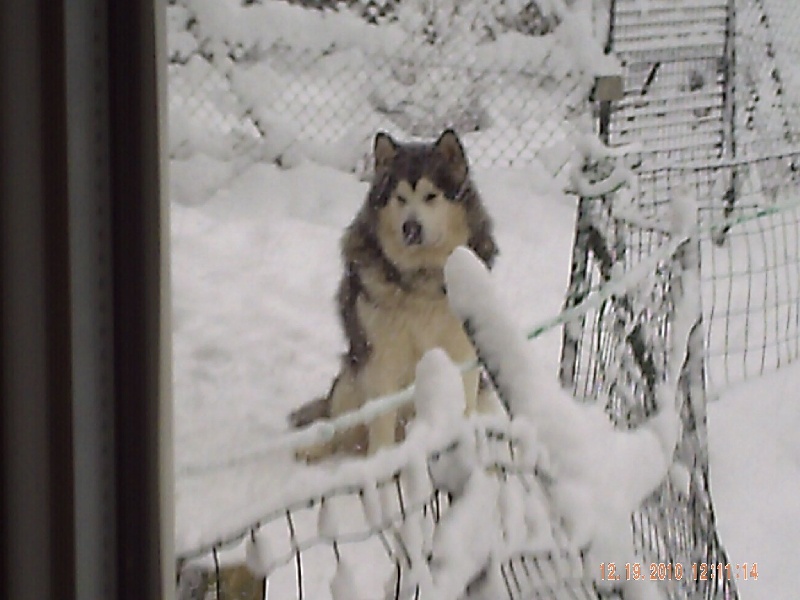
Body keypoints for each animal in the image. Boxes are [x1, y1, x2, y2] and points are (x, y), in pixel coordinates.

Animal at [288, 131, 500, 460]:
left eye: (431, 196)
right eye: (400, 198)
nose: (410, 227)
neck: (421, 276)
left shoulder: (462, 351)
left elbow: (464, 408)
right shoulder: (381, 358)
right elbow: (381, 425)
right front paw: (382, 463)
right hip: (351, 377)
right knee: (338, 428)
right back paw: (316, 448)